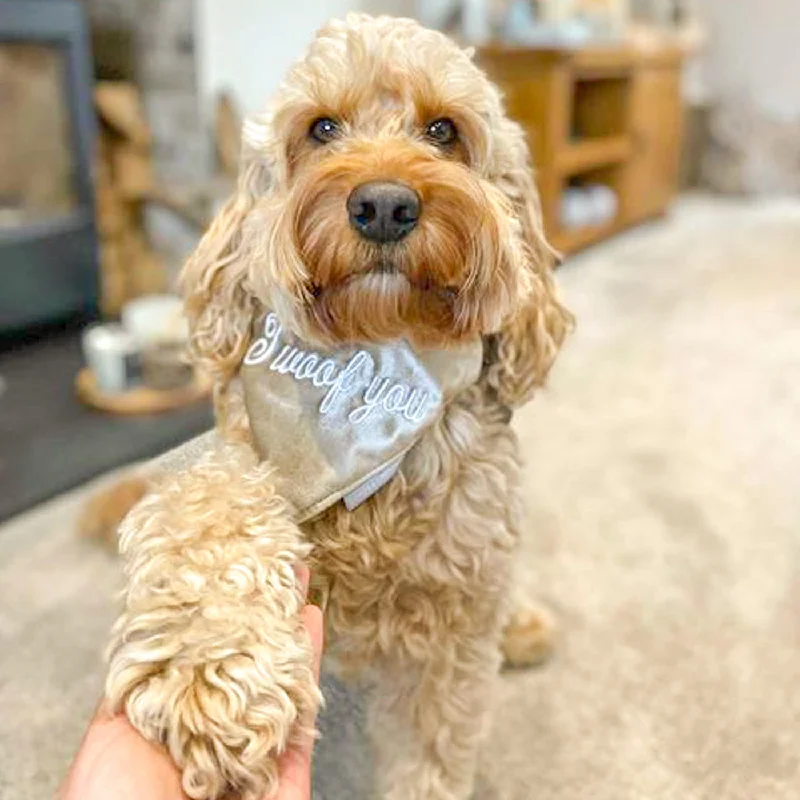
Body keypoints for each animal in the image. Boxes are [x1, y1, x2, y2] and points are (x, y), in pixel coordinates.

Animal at [100, 12, 572, 800]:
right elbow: (210, 510)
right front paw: (213, 672)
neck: (369, 365)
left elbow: (428, 754)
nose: (383, 205)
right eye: (321, 128)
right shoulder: (244, 452)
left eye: (444, 131)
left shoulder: (448, 628)